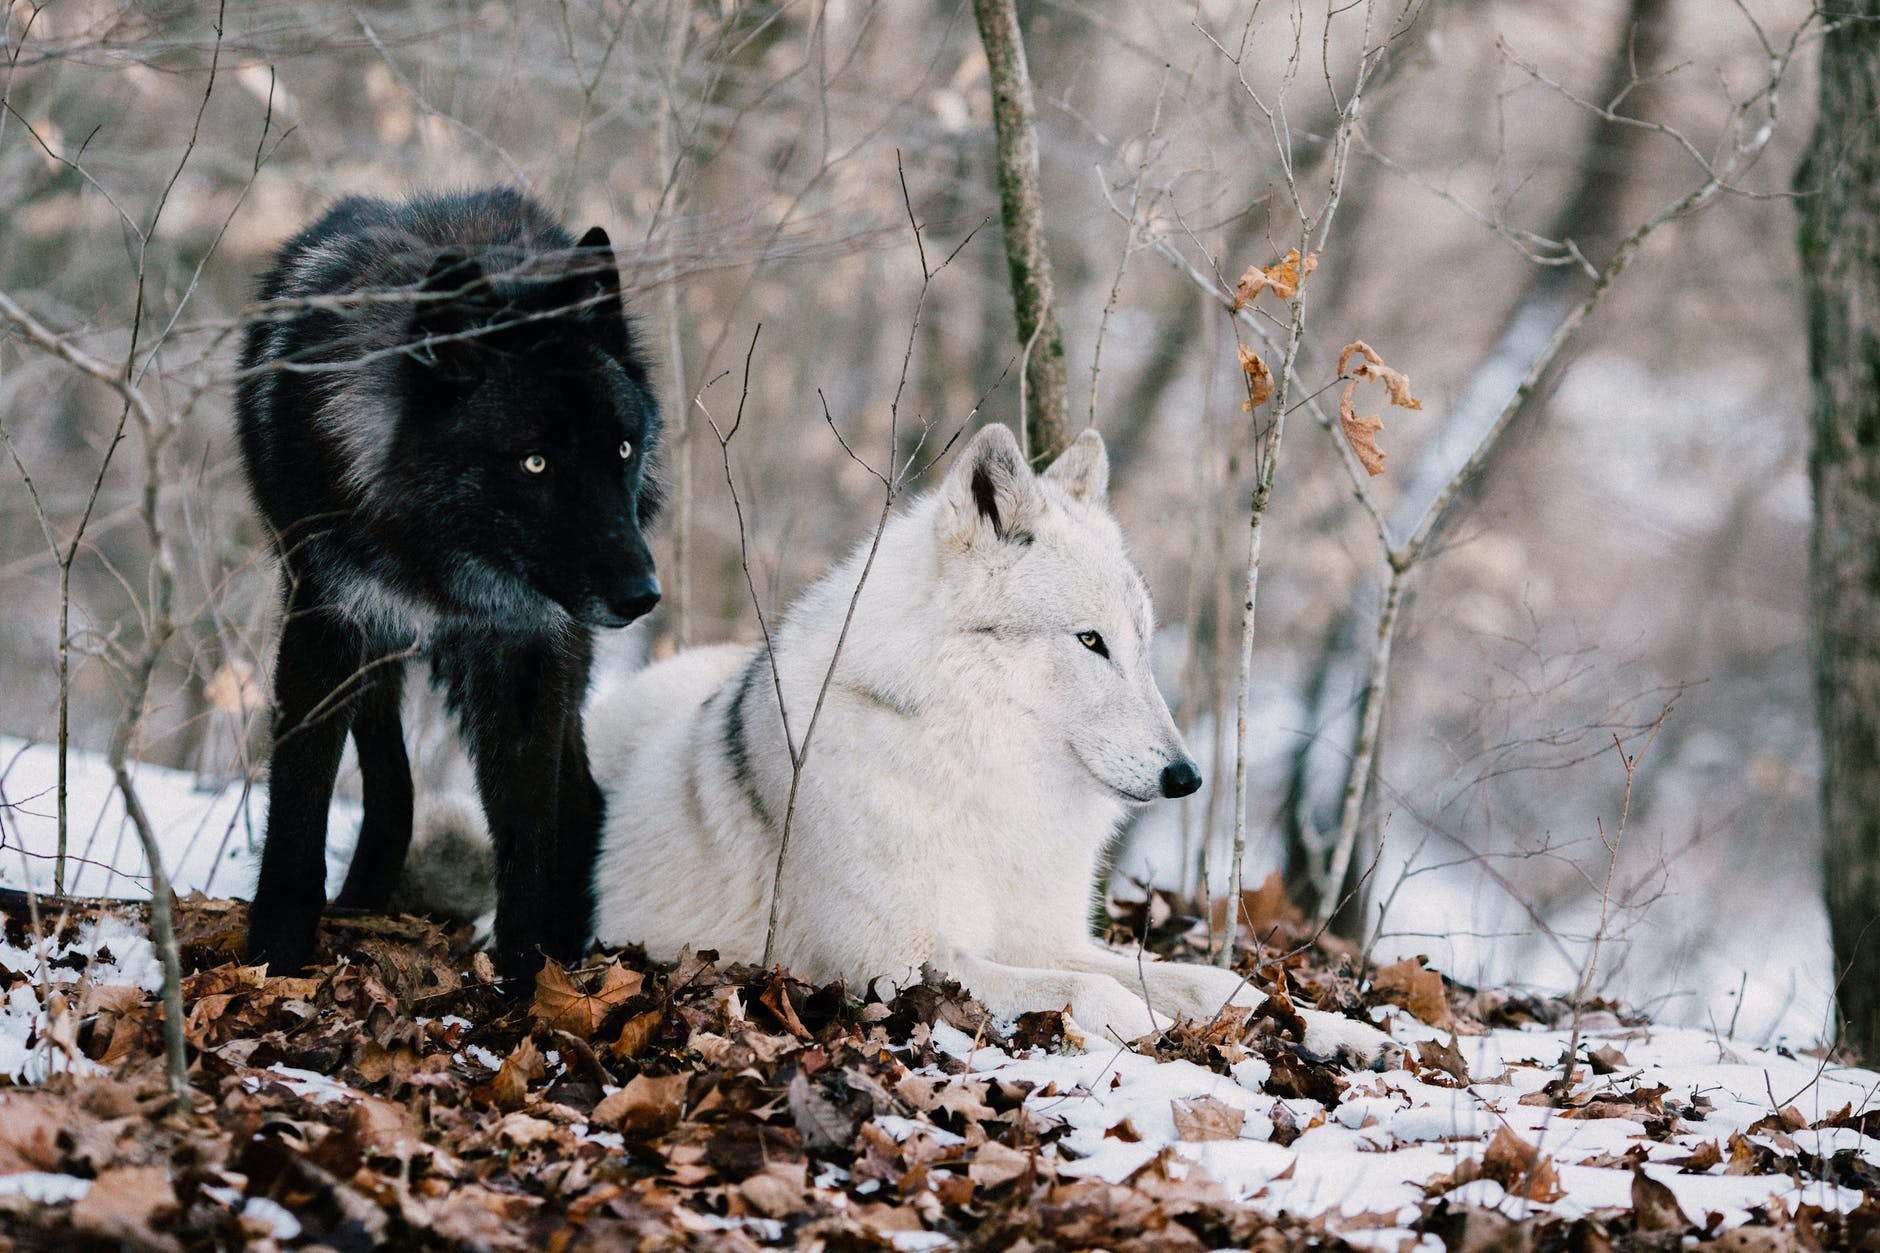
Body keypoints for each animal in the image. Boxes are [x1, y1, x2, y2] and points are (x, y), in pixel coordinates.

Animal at [236, 187, 661, 982]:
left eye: (621, 449)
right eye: (534, 462)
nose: (642, 595)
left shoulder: (526, 650)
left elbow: (526, 829)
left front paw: (528, 977)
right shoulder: (327, 621)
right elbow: (301, 803)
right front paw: (275, 956)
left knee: (580, 799)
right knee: (391, 780)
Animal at [574, 423, 1381, 1054]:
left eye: (1142, 645)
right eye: (1090, 641)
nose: (1187, 776)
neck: (982, 774)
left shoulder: (1049, 940)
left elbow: (1216, 980)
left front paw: (1332, 1028)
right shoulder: (893, 965)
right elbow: (1100, 995)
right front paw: (1161, 1035)